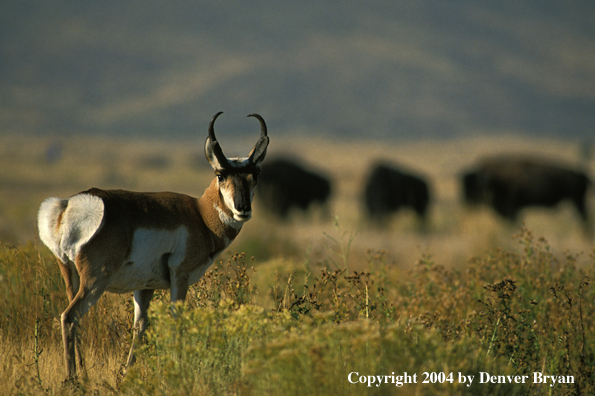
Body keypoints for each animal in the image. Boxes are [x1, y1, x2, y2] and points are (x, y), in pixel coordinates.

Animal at [37, 113, 270, 378]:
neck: (199, 214)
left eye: (255, 174)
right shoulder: (180, 277)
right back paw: (73, 380)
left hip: (70, 275)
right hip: (96, 280)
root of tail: (69, 205)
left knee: (76, 320)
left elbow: (140, 326)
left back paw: (84, 376)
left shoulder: (145, 287)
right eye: (220, 175)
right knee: (69, 316)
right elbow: (176, 320)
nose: (243, 209)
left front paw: (126, 374)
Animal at [460, 155, 592, 229]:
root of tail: (581, 175)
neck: (493, 180)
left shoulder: (512, 210)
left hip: (578, 201)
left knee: (584, 219)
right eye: (463, 187)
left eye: (475, 188)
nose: (465, 202)